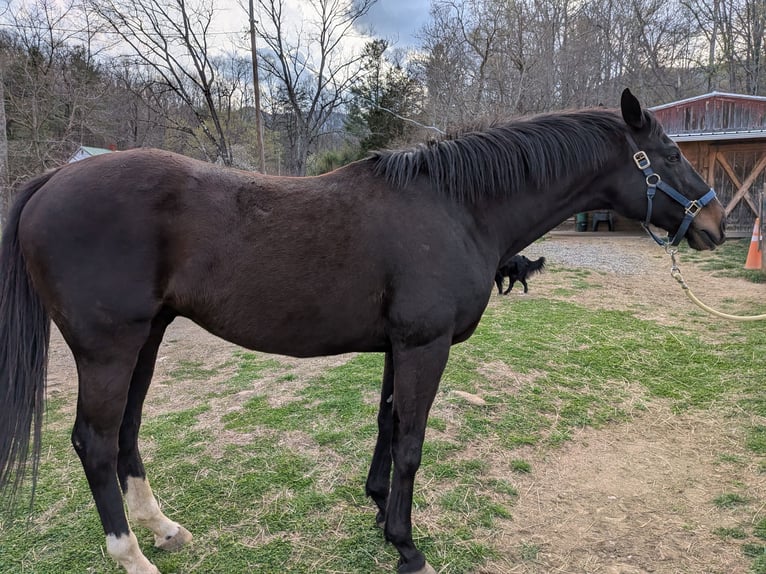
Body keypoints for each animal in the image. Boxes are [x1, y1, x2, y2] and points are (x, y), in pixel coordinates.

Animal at [0, 89, 725, 574]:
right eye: (667, 155)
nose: (717, 226)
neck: (458, 207)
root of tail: (54, 177)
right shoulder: (424, 346)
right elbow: (411, 442)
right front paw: (407, 545)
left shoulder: (398, 345)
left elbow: (387, 424)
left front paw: (379, 511)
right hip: (107, 349)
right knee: (94, 442)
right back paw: (132, 556)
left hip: (145, 340)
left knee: (125, 433)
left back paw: (163, 528)